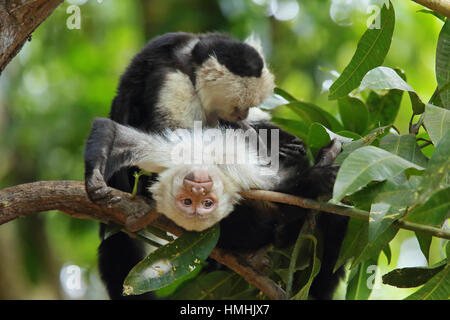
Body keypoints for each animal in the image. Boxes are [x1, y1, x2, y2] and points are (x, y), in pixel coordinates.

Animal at [86, 117, 350, 300]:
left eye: (204, 201)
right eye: (189, 202)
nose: (198, 189)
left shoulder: (175, 159)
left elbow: (112, 132)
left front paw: (93, 178)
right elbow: (287, 204)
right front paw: (318, 176)